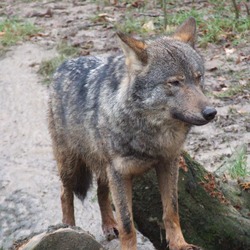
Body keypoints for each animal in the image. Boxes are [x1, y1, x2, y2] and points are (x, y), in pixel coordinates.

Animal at [48, 17, 217, 250]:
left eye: (198, 78)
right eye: (175, 82)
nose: (211, 112)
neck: (152, 134)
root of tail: (62, 65)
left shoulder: (168, 163)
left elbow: (171, 212)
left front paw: (180, 244)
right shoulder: (120, 172)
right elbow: (128, 224)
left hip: (103, 167)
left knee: (101, 194)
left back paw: (110, 225)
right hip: (72, 166)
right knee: (65, 194)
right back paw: (69, 228)